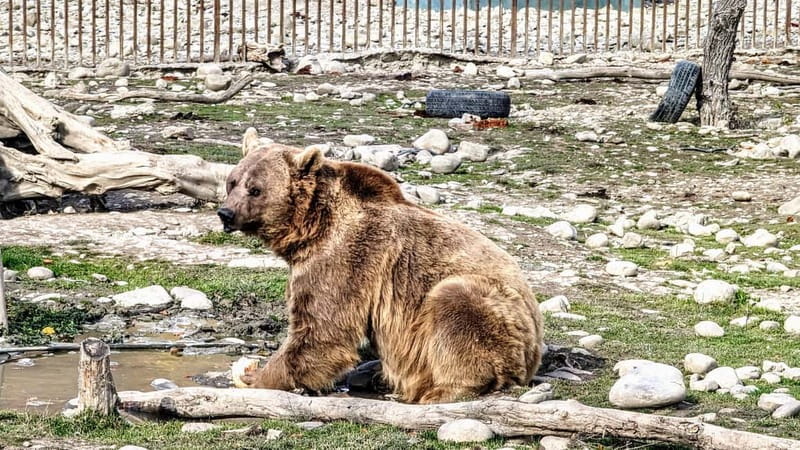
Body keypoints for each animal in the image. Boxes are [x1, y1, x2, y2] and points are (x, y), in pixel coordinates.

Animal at [217, 128, 544, 404]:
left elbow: (321, 329)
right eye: (232, 182)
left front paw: (255, 376)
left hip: (495, 312)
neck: (312, 227)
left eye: (256, 189)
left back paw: (441, 390)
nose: (226, 213)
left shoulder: (348, 257)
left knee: (455, 307)